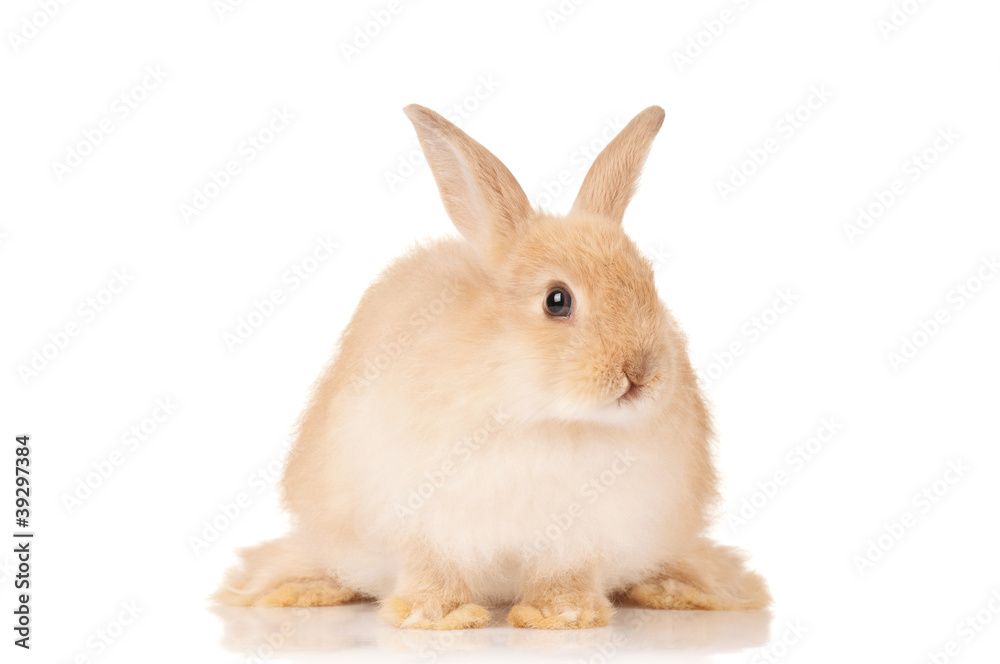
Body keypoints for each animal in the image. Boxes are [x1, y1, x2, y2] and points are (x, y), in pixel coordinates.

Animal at [214, 104, 770, 629]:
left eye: (649, 283)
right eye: (557, 300)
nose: (641, 373)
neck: (539, 412)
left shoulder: (579, 540)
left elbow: (563, 578)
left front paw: (563, 618)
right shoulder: (422, 521)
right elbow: (433, 572)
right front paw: (436, 618)